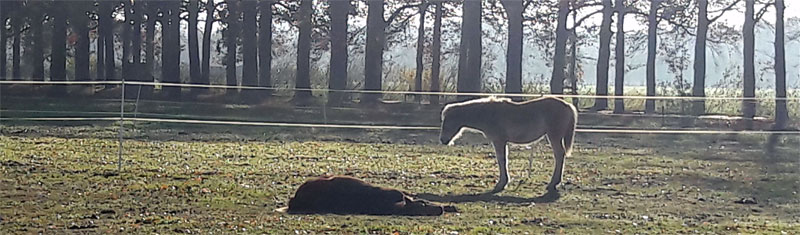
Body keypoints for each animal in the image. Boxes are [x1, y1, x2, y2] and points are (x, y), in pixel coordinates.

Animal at [440, 95, 580, 193]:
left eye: (447, 121)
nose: (443, 140)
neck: (489, 114)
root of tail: (568, 105)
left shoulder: (499, 141)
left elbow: (502, 160)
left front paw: (501, 184)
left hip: (554, 136)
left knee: (559, 155)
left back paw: (553, 183)